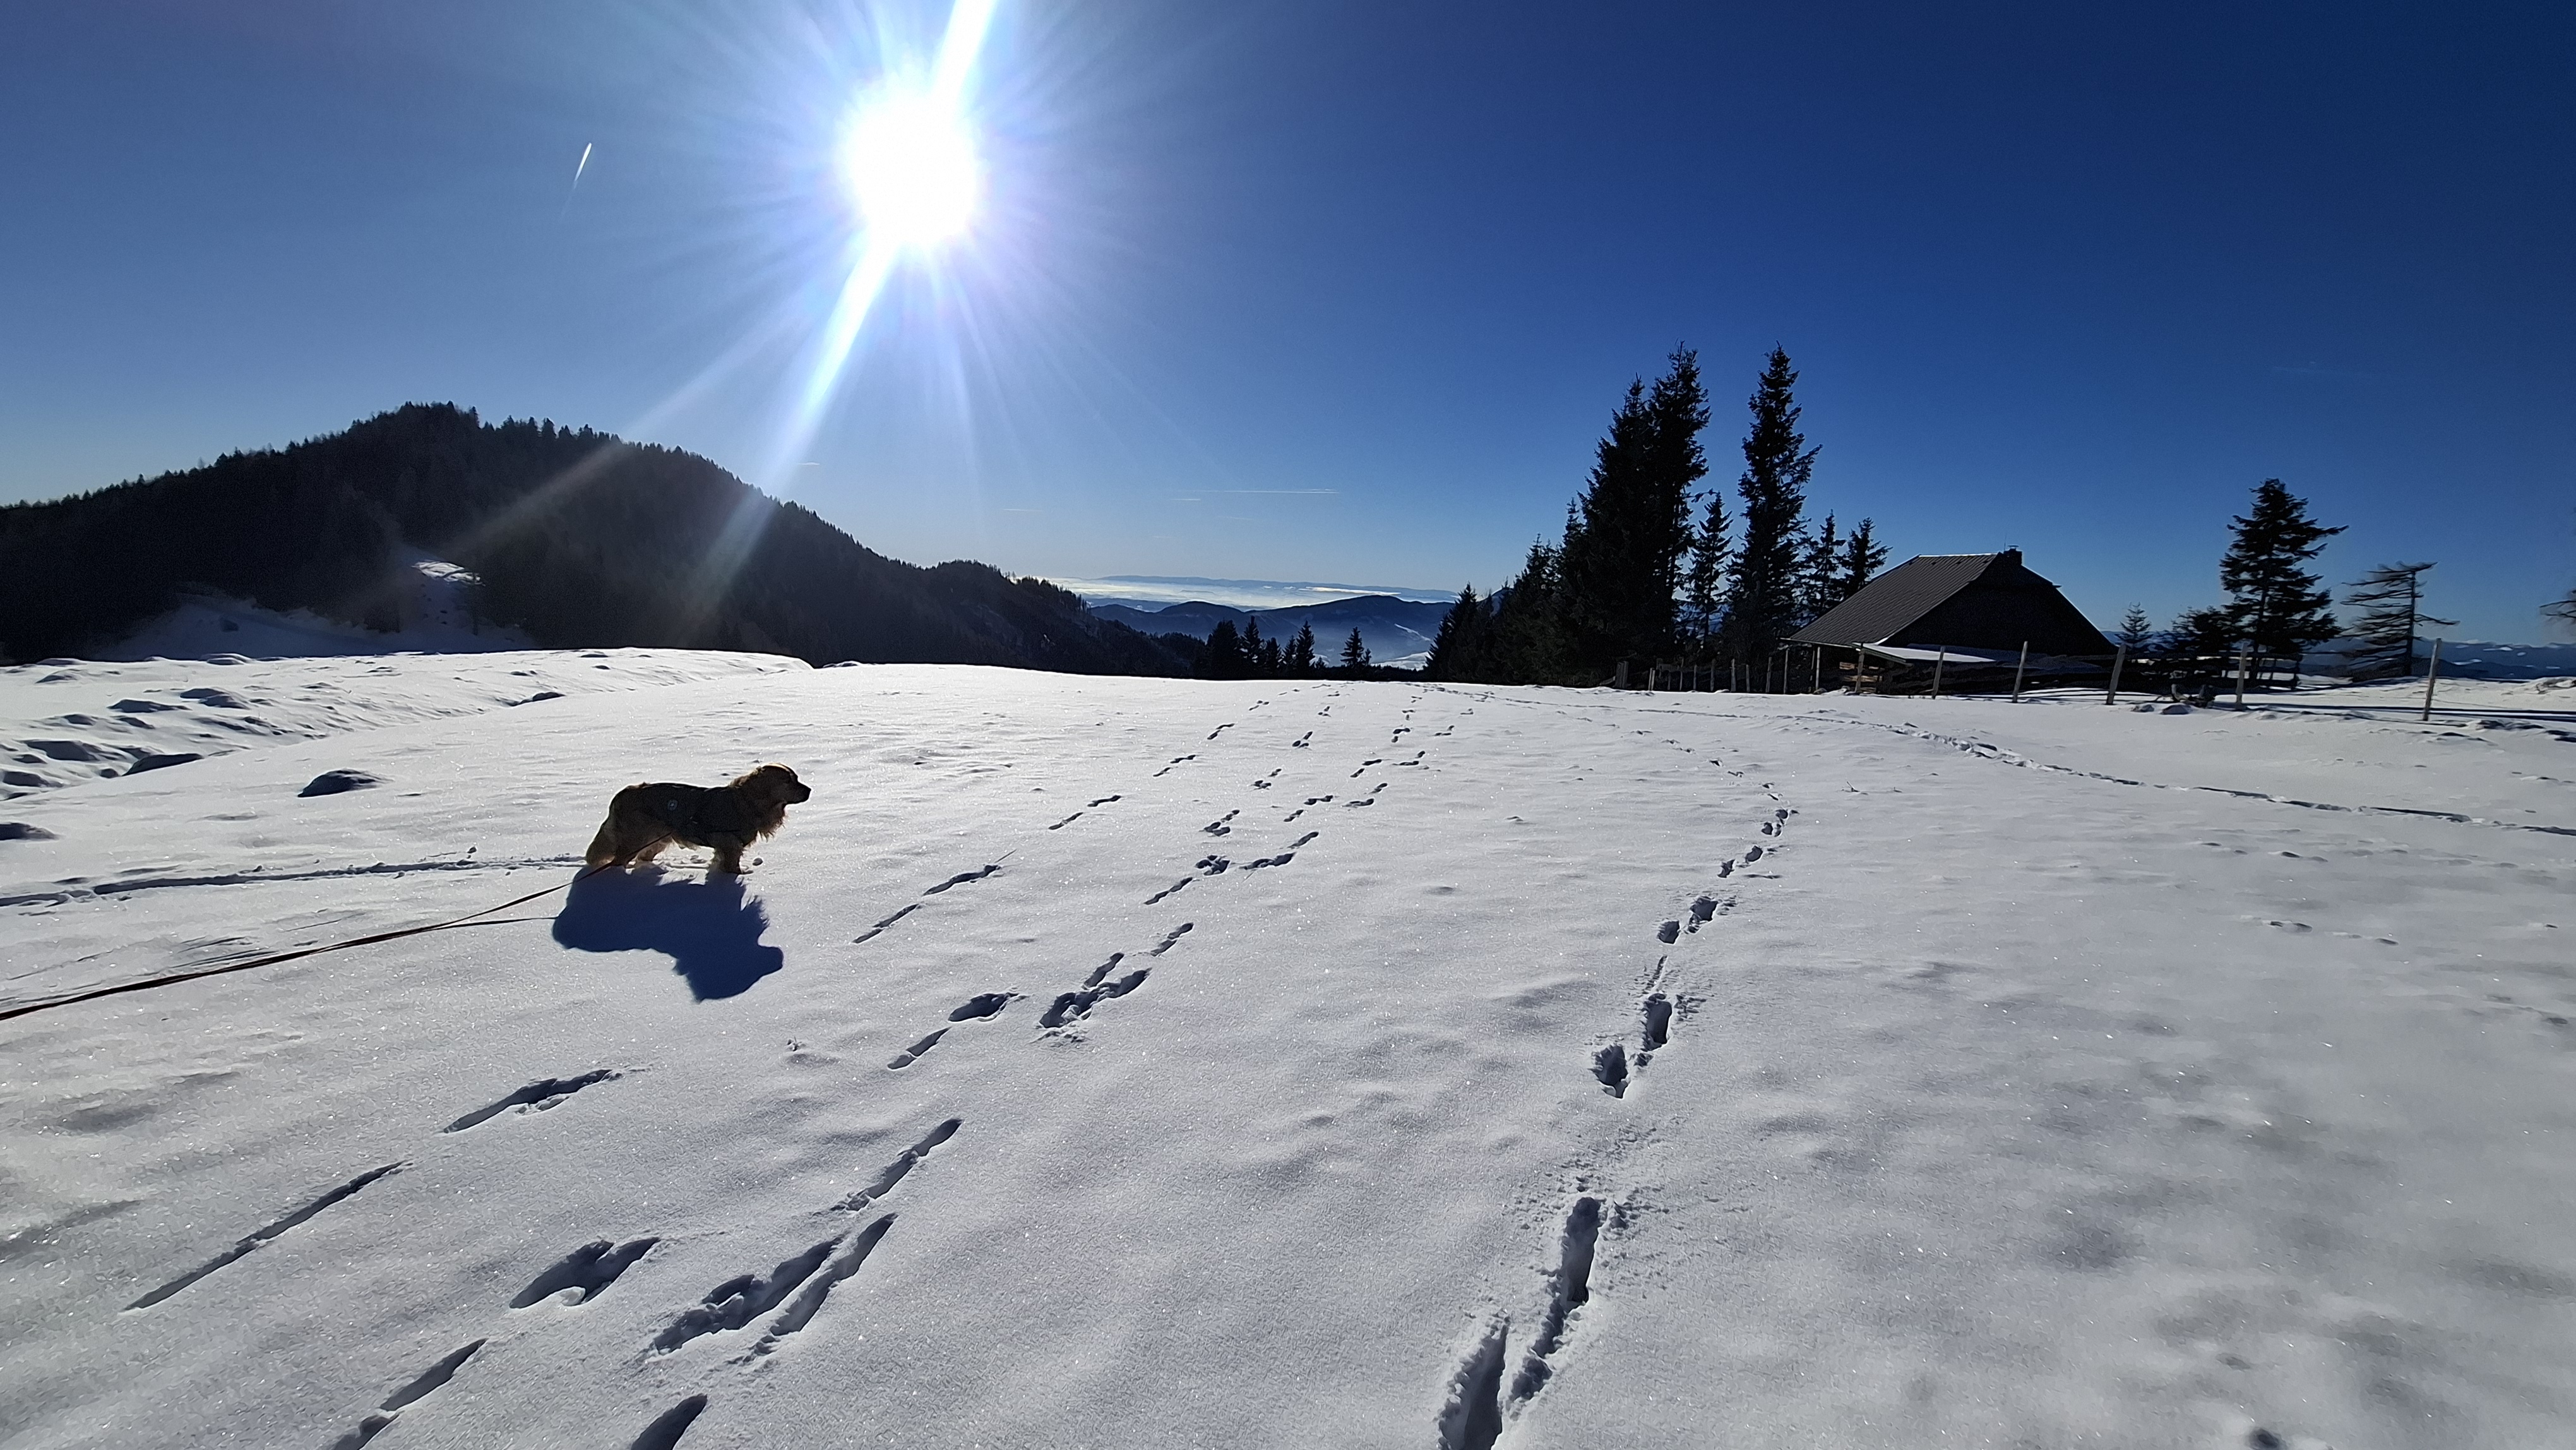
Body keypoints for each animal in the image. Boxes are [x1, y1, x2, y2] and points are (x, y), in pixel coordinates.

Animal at [584, 764, 811, 875]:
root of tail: (622, 794)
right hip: (635, 838)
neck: (747, 801)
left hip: (656, 839)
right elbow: (733, 867)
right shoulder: (729, 843)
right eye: (788, 781)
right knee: (618, 860)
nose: (810, 790)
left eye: (797, 778)